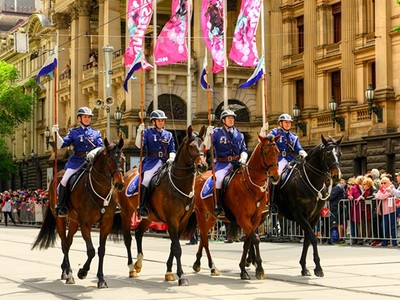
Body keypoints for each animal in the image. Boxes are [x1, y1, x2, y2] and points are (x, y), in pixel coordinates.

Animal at [31, 138, 125, 288]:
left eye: (122, 159)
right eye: (110, 159)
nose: (120, 184)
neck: (100, 191)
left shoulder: (106, 222)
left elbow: (101, 250)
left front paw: (101, 279)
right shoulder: (85, 224)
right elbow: (91, 251)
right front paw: (83, 272)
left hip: (74, 222)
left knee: (68, 243)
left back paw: (65, 270)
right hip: (61, 219)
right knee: (64, 243)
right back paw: (69, 274)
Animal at [115, 125, 208, 286]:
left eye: (203, 145)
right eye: (191, 146)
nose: (203, 166)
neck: (179, 184)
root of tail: (126, 174)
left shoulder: (182, 221)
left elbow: (173, 246)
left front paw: (169, 272)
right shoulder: (172, 220)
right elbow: (177, 248)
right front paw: (181, 276)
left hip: (148, 217)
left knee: (138, 233)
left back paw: (139, 263)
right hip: (126, 213)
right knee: (128, 238)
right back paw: (132, 268)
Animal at [187, 134, 278, 278]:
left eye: (278, 152)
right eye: (266, 152)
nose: (275, 176)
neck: (251, 185)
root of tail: (199, 176)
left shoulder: (255, 218)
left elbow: (248, 241)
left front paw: (243, 267)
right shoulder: (242, 218)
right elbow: (255, 239)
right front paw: (259, 268)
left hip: (212, 216)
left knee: (204, 234)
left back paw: (198, 262)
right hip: (200, 212)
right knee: (204, 236)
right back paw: (211, 266)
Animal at [276, 135, 342, 278]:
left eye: (339, 153)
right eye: (327, 153)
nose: (337, 175)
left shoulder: (314, 216)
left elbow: (307, 239)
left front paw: (304, 267)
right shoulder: (299, 214)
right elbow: (313, 238)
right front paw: (318, 268)